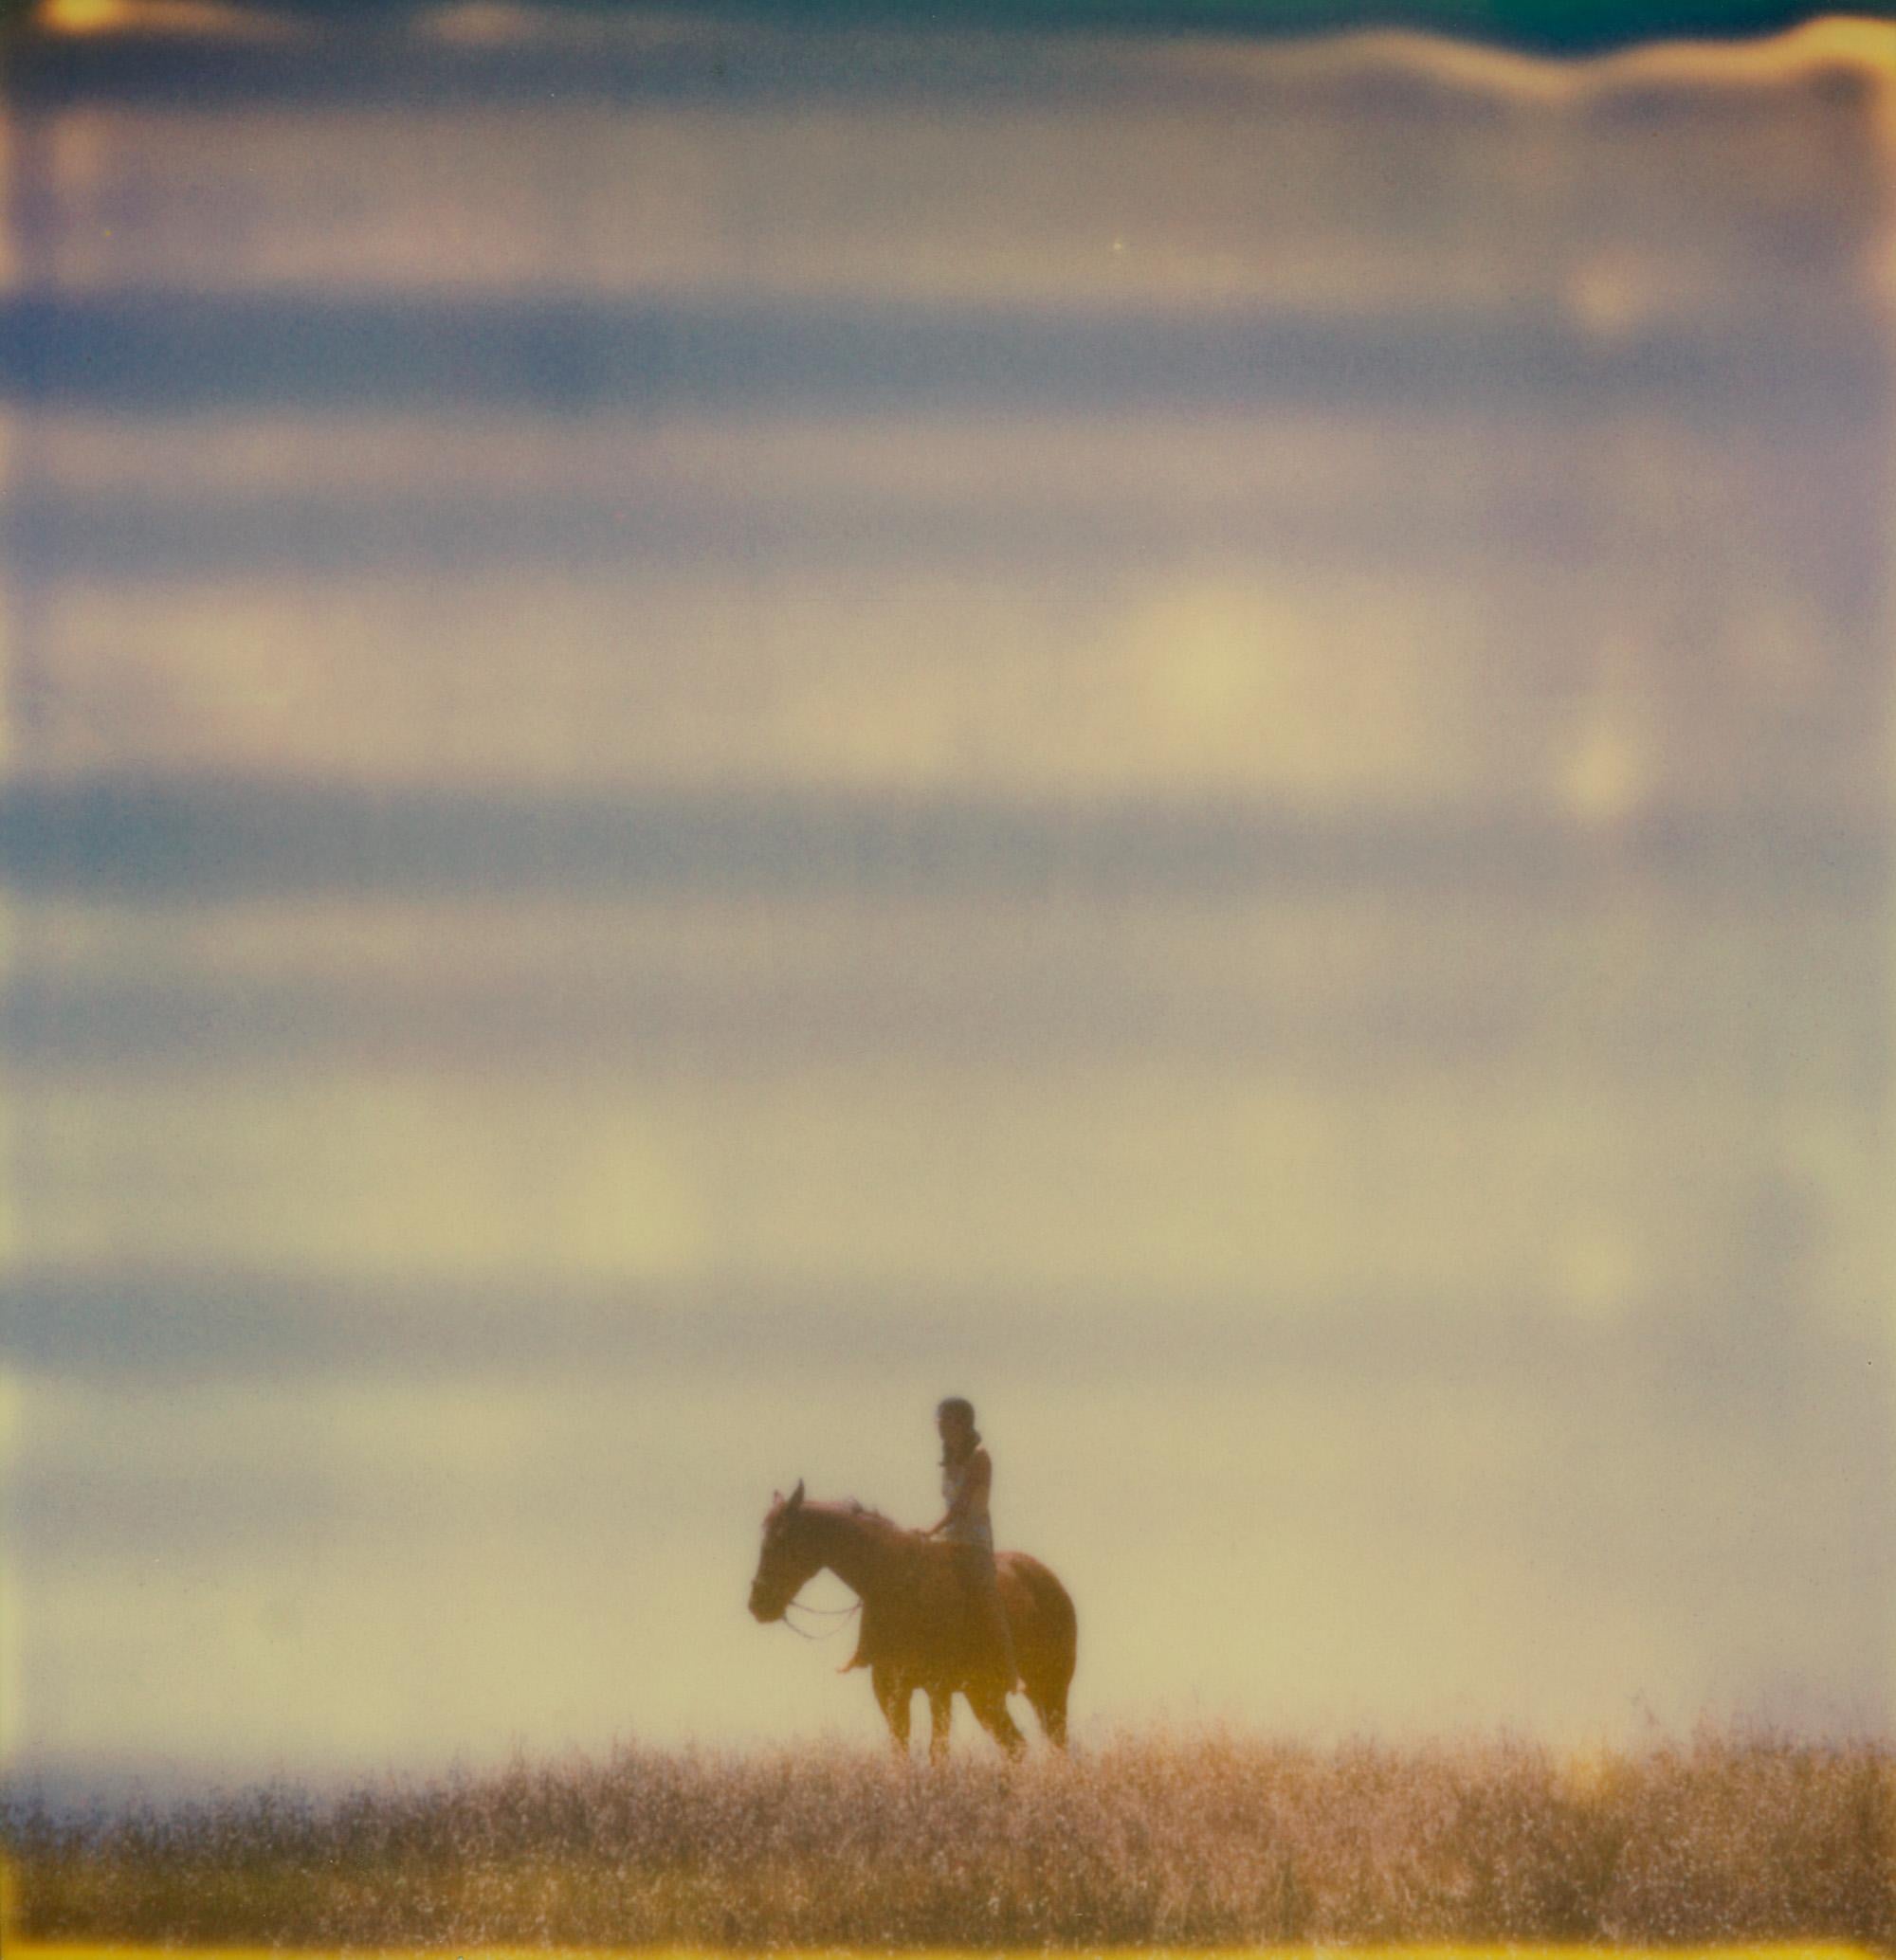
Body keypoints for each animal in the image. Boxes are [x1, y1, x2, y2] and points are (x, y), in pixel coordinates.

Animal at [757, 1481, 1082, 1764]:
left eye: (781, 1539)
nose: (757, 1602)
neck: (898, 1584)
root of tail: (1052, 1585)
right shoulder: (890, 1688)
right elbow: (900, 1752)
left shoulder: (939, 1689)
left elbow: (937, 1754)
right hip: (985, 1694)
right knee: (1015, 1746)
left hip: (1050, 1689)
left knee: (1055, 1746)